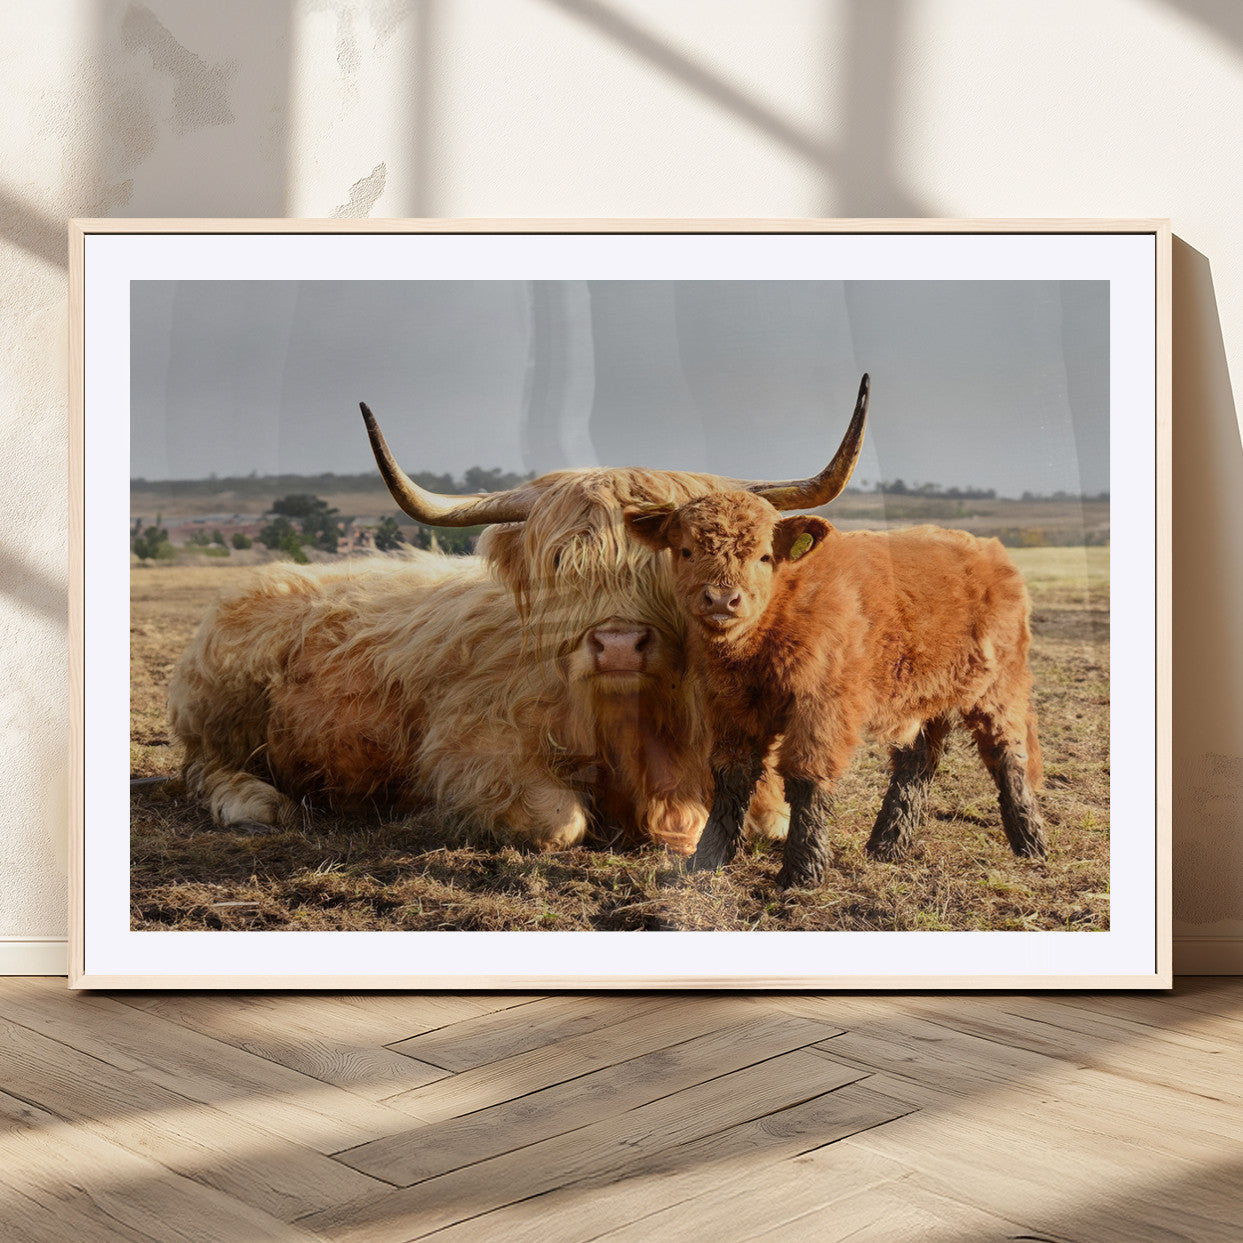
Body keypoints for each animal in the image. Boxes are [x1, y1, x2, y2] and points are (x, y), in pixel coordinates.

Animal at [166, 376, 872, 855]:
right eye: (560, 561)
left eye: (676, 556)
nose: (619, 645)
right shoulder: (468, 750)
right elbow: (559, 821)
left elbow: (770, 817)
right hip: (222, 708)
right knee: (203, 769)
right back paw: (254, 804)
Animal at [624, 485, 1046, 888]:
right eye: (686, 550)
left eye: (764, 556)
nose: (721, 599)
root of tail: (990, 549)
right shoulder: (731, 706)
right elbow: (732, 775)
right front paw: (705, 862)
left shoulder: (822, 706)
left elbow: (805, 777)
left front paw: (802, 871)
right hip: (922, 695)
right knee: (918, 761)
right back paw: (888, 845)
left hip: (999, 688)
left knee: (1007, 754)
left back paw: (1031, 843)